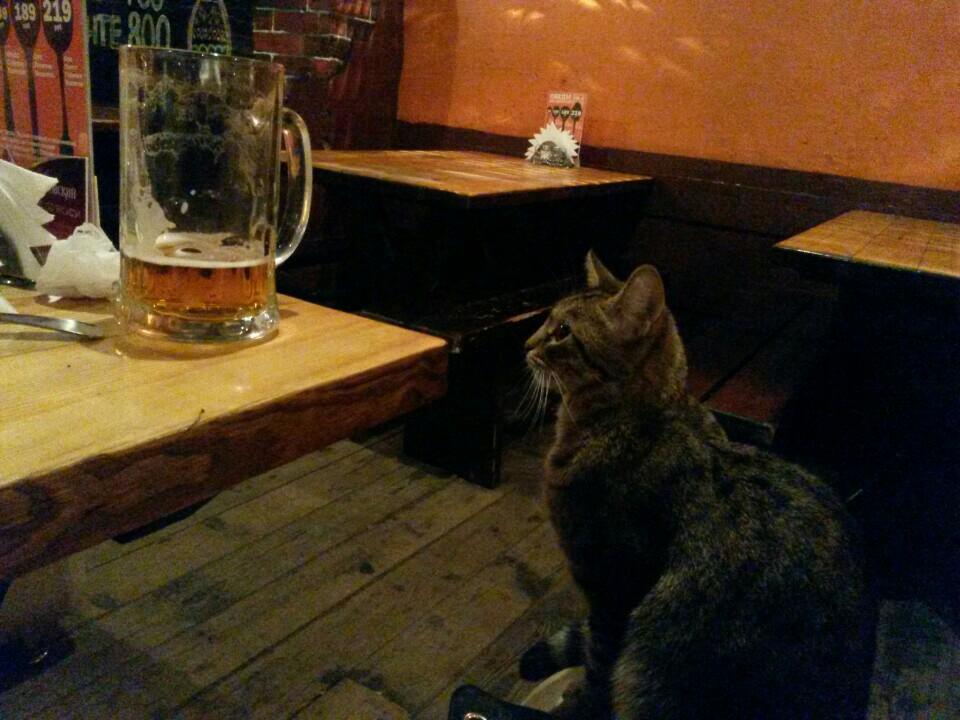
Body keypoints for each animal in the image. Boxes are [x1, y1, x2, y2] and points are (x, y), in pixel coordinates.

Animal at [519, 252, 875, 720]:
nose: (525, 344)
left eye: (562, 331)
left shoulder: (614, 590)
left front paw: (574, 703)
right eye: (548, 320)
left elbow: (599, 670)